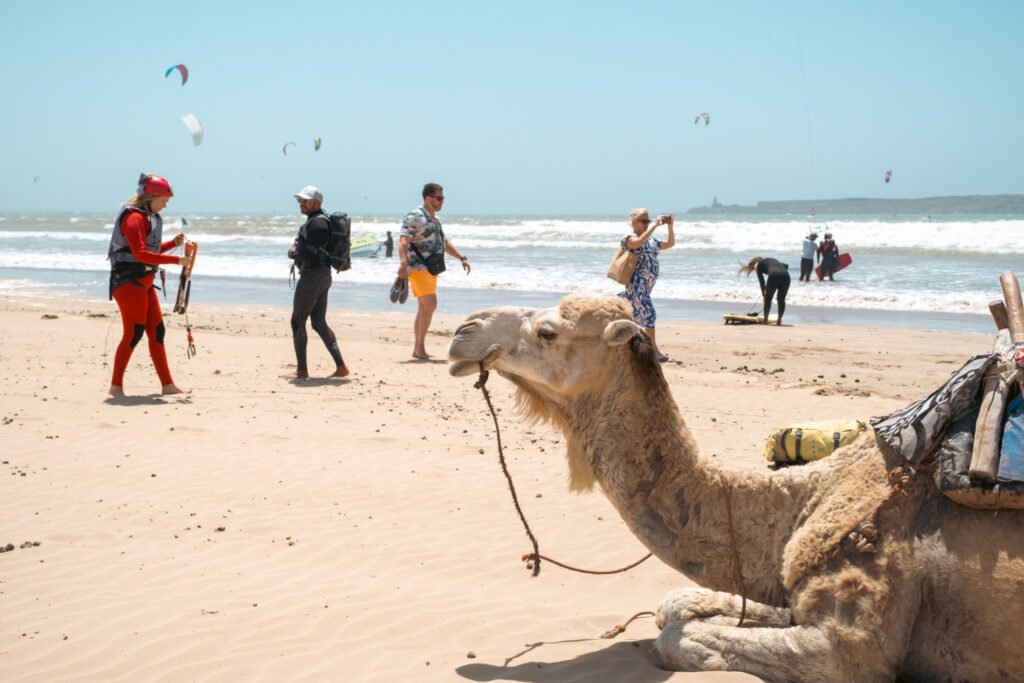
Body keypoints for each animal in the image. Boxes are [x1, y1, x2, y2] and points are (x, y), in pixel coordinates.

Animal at [447, 295, 1024, 683]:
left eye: (547, 331)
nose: (462, 331)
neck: (803, 499)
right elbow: (677, 603)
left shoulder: (851, 643)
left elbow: (675, 636)